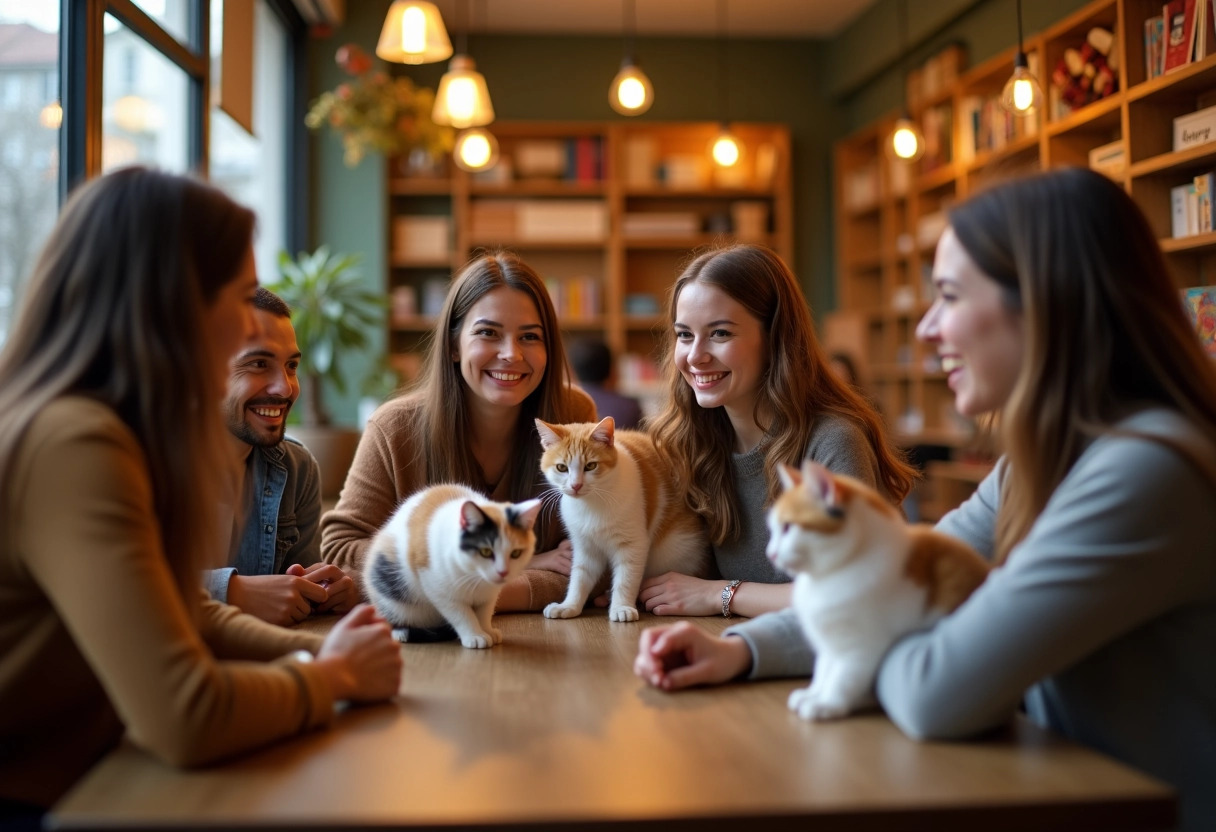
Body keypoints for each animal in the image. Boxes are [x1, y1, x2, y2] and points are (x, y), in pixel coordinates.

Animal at [359, 481, 542, 651]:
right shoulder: (437, 587)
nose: (503, 572)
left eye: (516, 553)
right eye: (485, 551)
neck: (475, 577)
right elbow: (461, 614)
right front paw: (474, 635)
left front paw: (487, 630)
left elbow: (484, 611)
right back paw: (400, 632)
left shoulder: (490, 593)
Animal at [537, 418, 710, 620]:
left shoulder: (633, 545)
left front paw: (621, 607)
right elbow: (579, 578)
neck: (591, 503)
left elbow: (626, 579)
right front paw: (569, 606)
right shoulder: (586, 547)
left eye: (590, 466)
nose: (576, 485)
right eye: (561, 468)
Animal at [768, 462, 987, 720]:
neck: (824, 579)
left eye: (787, 527)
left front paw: (827, 703)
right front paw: (815, 693)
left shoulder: (862, 647)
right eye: (772, 529)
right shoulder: (830, 646)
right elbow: (823, 670)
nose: (770, 553)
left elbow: (843, 678)